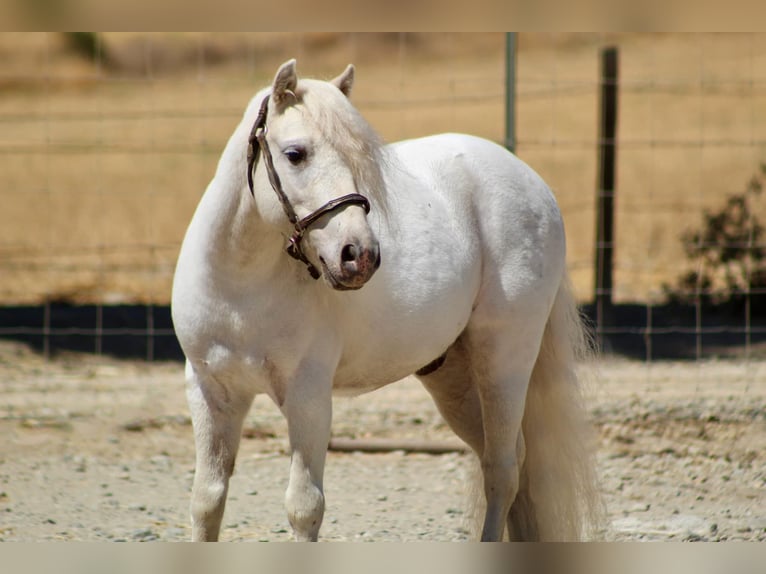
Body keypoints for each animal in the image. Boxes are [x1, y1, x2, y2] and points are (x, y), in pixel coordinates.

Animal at [174, 59, 608, 544]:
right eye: (295, 154)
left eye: (359, 158)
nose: (359, 255)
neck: (242, 288)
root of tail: (531, 181)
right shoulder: (209, 392)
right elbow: (207, 501)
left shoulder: (308, 396)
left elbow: (304, 507)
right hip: (453, 378)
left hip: (504, 361)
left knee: (503, 469)